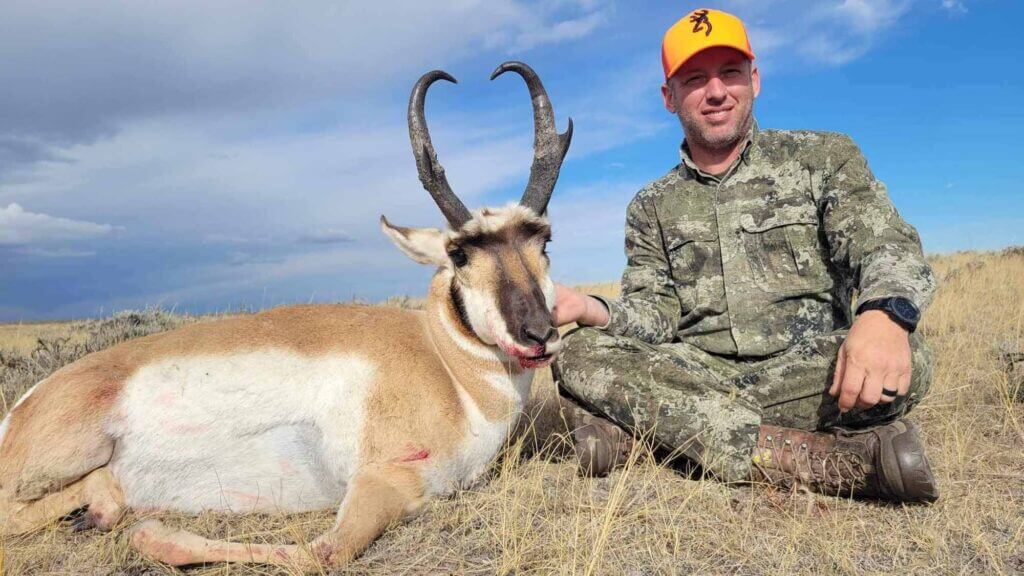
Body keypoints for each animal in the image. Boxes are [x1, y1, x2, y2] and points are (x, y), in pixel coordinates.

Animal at [0, 61, 572, 570]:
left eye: (544, 240)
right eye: (459, 253)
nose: (540, 334)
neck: (445, 364)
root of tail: (24, 406)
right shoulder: (384, 480)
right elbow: (322, 553)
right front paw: (153, 536)